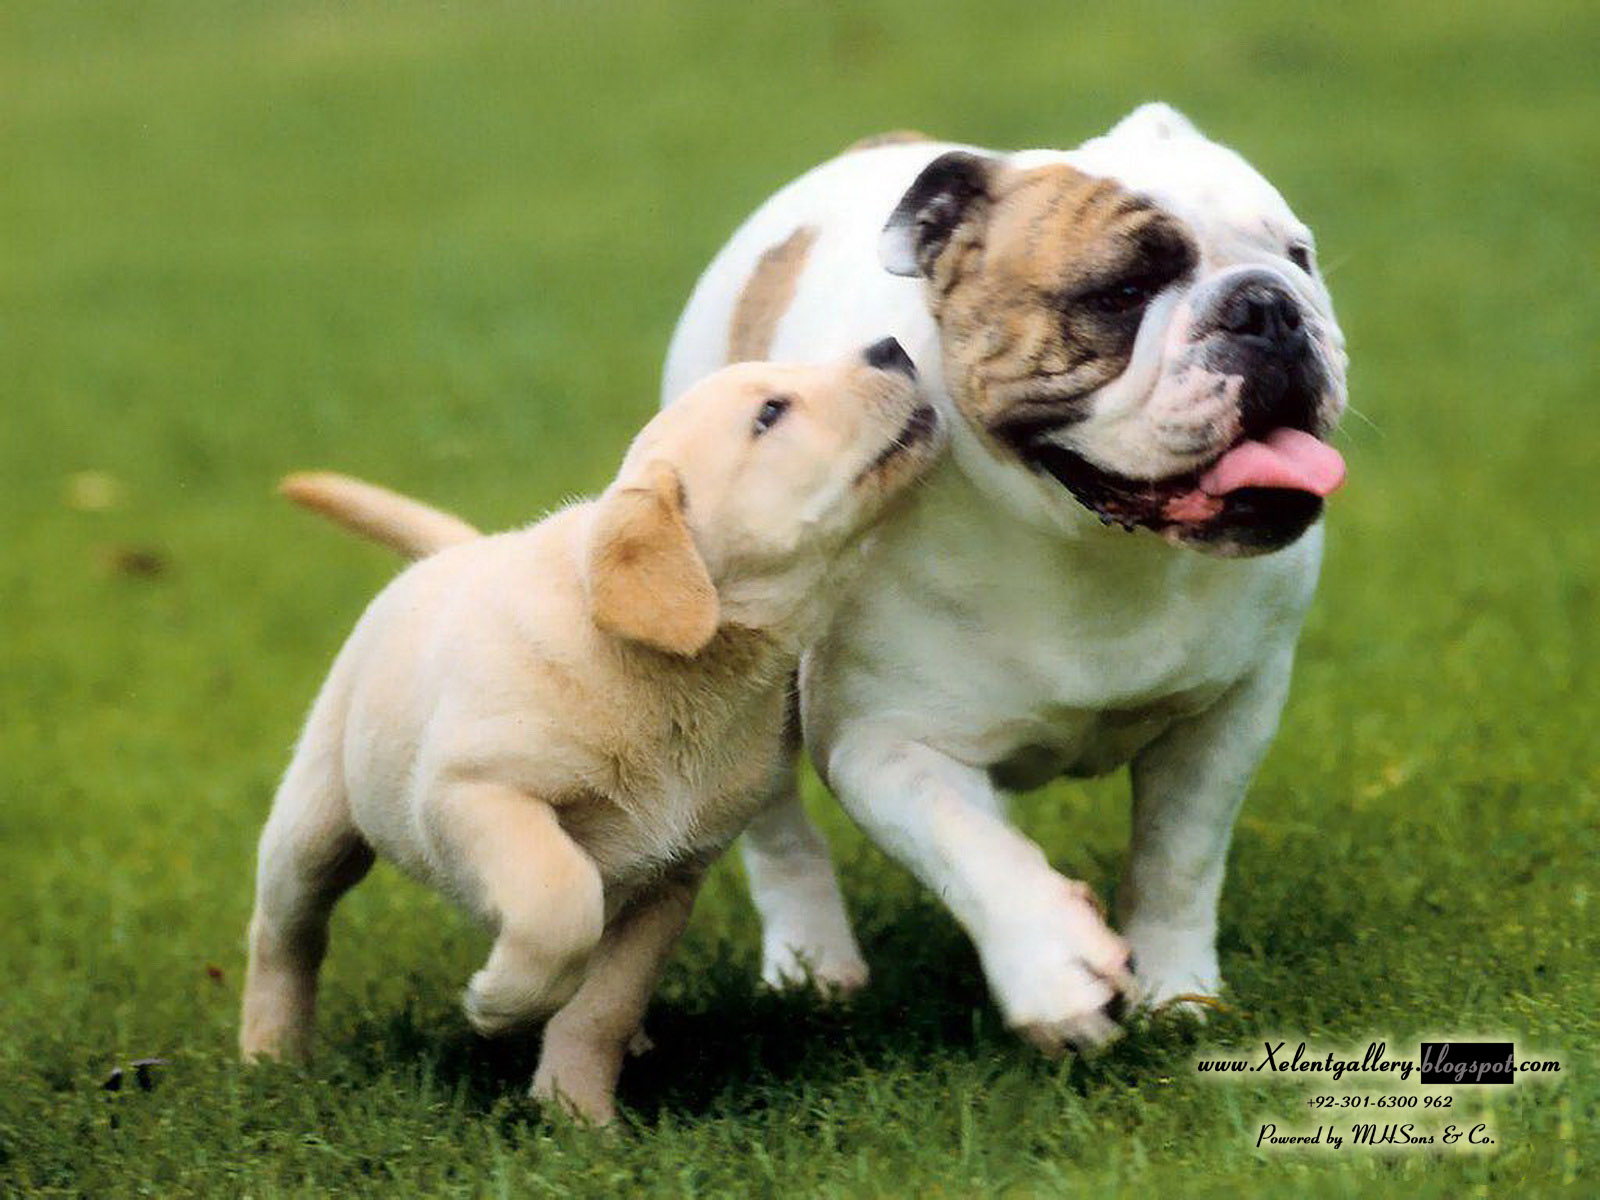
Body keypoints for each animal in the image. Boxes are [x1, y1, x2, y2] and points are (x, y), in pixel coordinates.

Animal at [239, 343, 941, 1122]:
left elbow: (603, 1004)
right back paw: (271, 1054)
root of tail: (448, 556)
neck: (673, 678)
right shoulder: (473, 792)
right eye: (770, 413)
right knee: (285, 934)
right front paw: (500, 1003)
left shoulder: (671, 875)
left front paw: (576, 1113)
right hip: (316, 823)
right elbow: (561, 898)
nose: (891, 348)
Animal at [661, 104, 1349, 1053]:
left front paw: (1178, 993)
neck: (1086, 537)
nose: (1268, 306)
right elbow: (971, 849)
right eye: (1122, 293)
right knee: (780, 837)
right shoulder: (884, 740)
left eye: (1298, 257)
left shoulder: (1230, 712)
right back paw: (812, 967)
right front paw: (1058, 972)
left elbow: (1179, 856)